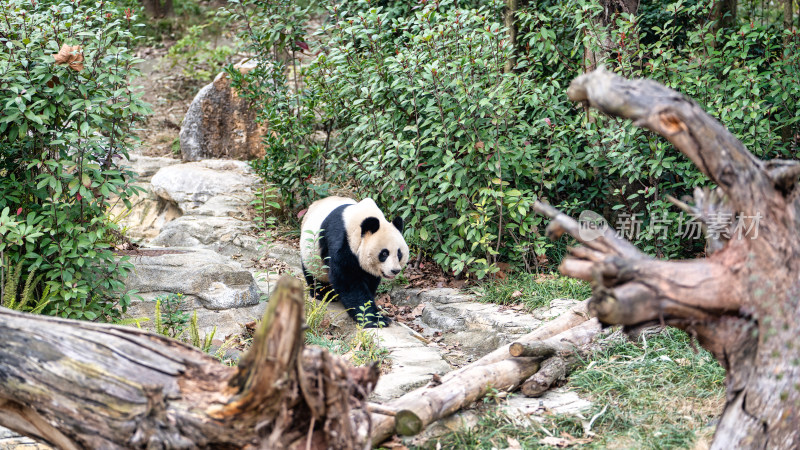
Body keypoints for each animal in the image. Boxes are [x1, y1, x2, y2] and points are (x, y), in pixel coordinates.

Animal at [302, 196, 410, 326]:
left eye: (399, 253)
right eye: (384, 253)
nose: (395, 270)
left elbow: (370, 279)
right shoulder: (340, 241)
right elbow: (347, 280)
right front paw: (375, 319)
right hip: (311, 254)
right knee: (314, 274)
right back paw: (323, 294)